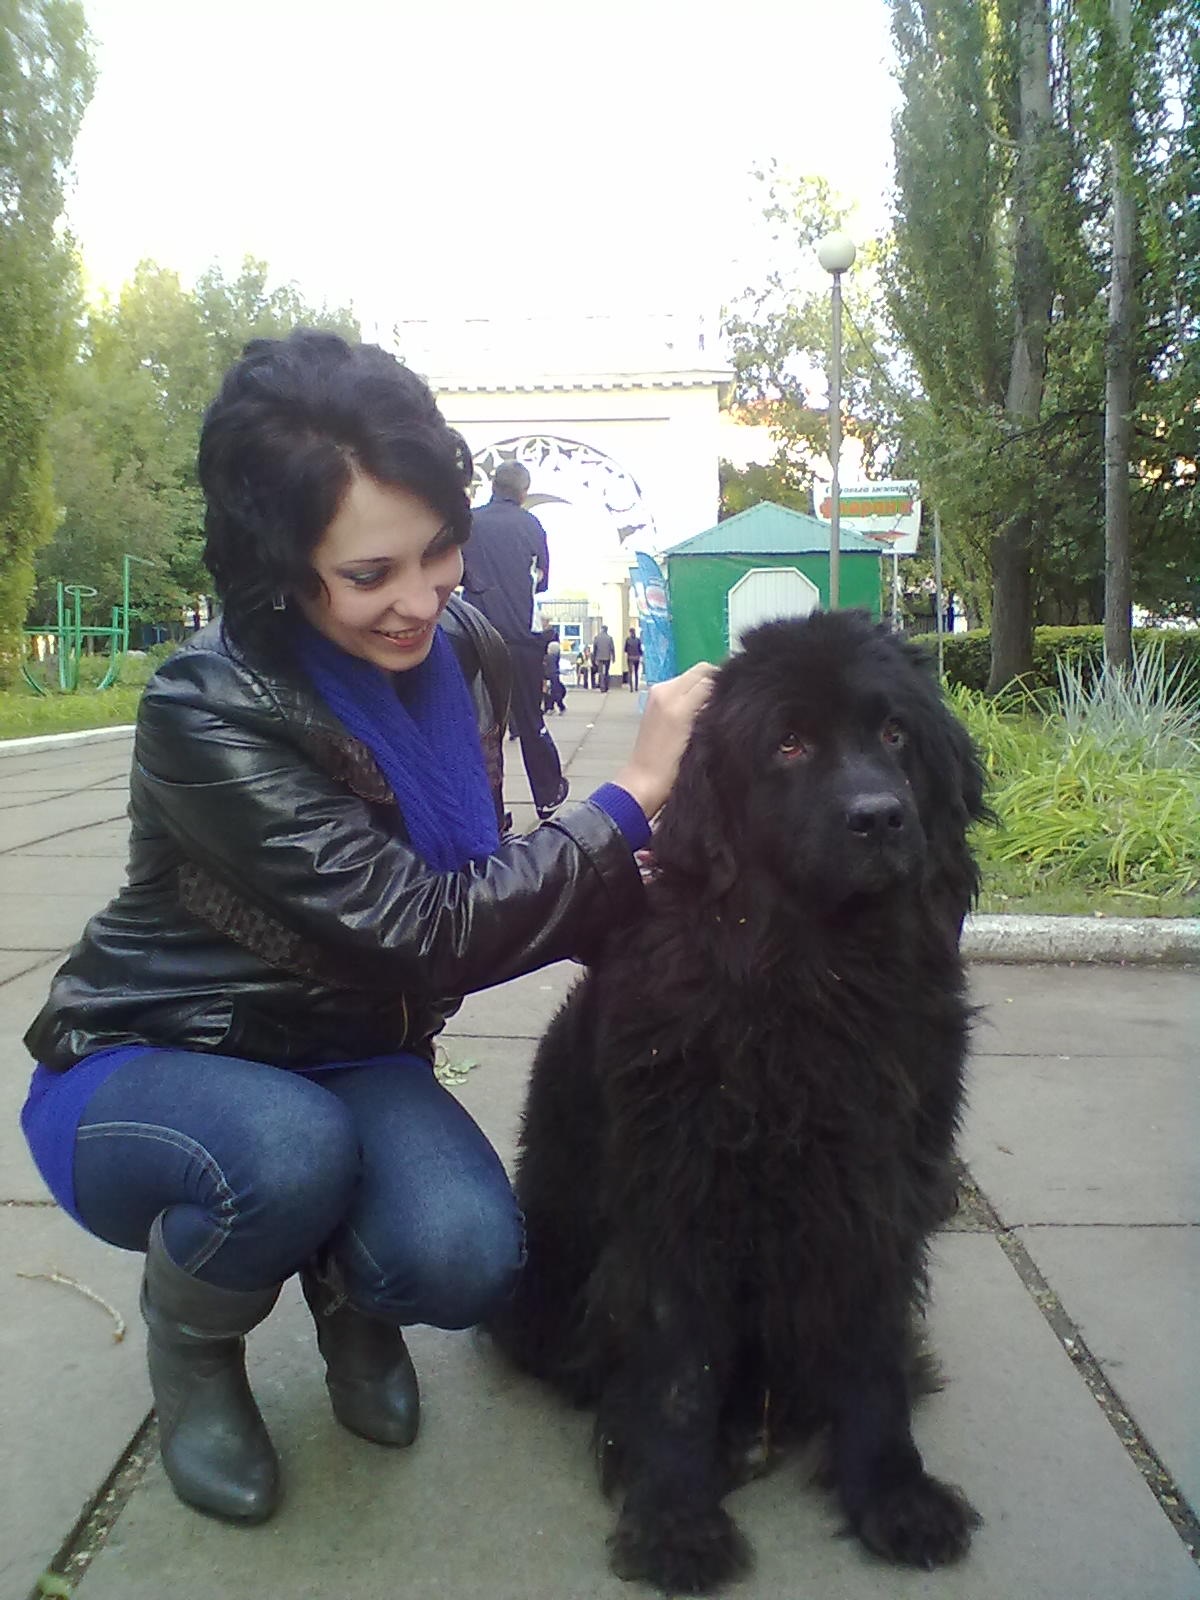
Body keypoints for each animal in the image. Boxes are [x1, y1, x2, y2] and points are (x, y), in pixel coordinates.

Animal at [489, 610, 988, 1594]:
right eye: (788, 744)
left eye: (895, 735)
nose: (880, 817)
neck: (814, 981)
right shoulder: (677, 1193)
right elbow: (679, 1367)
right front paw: (674, 1519)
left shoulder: (876, 1189)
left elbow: (873, 1350)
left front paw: (893, 1492)